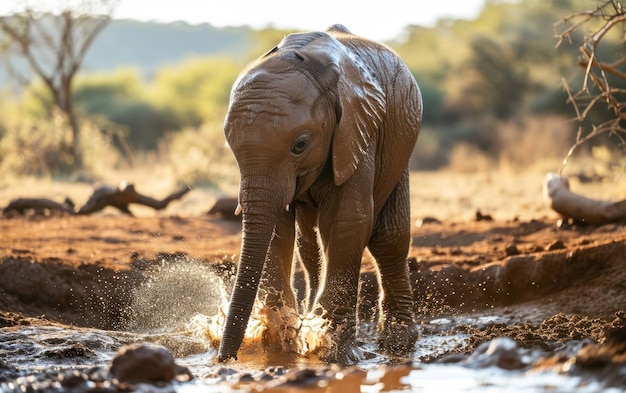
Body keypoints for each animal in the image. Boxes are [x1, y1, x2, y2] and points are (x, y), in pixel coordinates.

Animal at [217, 23, 422, 362]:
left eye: (300, 145)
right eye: (231, 147)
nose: (225, 358)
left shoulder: (356, 131)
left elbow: (349, 221)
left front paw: (335, 354)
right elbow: (277, 227)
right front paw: (280, 340)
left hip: (400, 146)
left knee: (388, 237)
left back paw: (398, 343)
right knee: (310, 244)